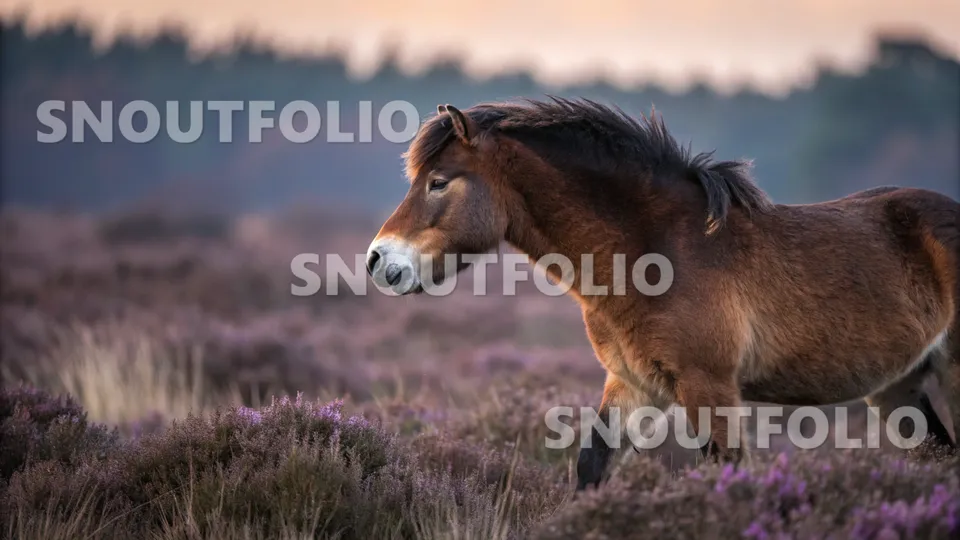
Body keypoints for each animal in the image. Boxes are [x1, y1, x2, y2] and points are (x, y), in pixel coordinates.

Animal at [364, 97, 960, 491]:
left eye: (439, 181)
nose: (377, 260)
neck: (650, 251)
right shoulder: (632, 384)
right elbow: (593, 464)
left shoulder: (709, 386)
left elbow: (726, 474)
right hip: (897, 386)